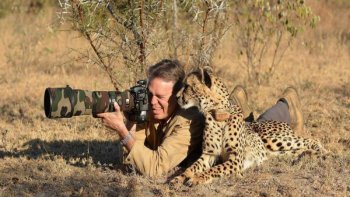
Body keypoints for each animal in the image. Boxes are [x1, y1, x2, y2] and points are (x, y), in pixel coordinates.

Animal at [170, 67, 326, 185]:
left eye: (187, 86)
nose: (176, 97)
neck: (218, 114)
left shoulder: (235, 160)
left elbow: (214, 169)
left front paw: (197, 178)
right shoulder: (209, 154)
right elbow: (191, 168)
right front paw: (178, 178)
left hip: (272, 139)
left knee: (311, 140)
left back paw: (321, 152)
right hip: (276, 151)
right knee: (298, 149)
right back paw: (307, 155)